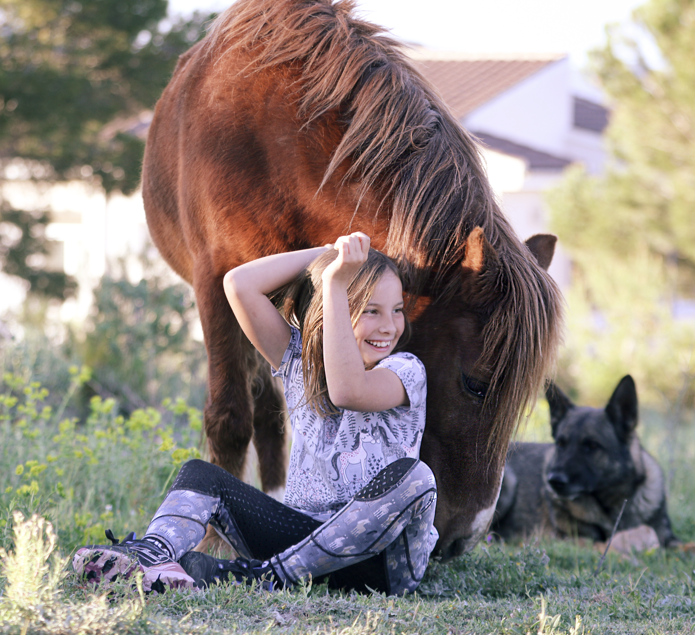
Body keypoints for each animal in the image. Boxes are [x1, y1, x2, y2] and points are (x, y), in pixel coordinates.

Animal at [142, 0, 563, 560]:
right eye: (475, 384)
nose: (460, 538)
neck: (274, 138)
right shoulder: (214, 283)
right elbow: (229, 417)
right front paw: (212, 546)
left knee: (274, 415)